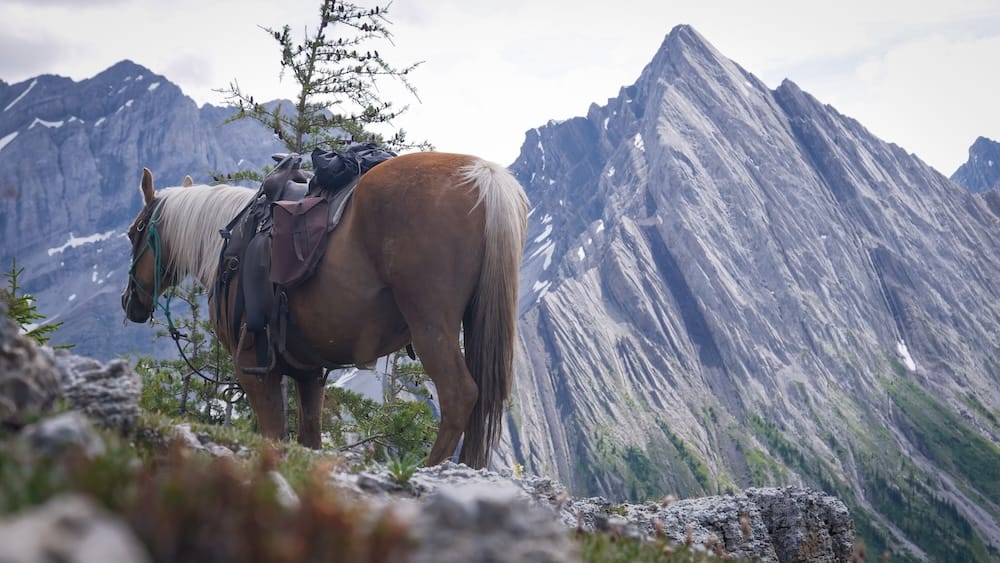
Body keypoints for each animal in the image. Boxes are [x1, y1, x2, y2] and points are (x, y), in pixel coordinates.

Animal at [121, 152, 529, 468]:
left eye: (134, 230)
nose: (129, 302)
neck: (231, 242)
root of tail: (484, 177)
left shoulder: (254, 370)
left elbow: (274, 435)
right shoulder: (308, 372)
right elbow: (310, 438)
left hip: (432, 327)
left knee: (460, 395)